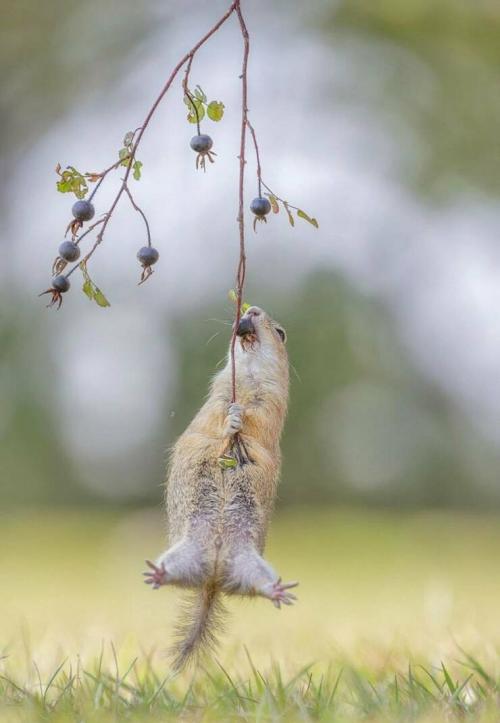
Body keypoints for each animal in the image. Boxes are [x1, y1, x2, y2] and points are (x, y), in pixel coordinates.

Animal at [144, 305, 298, 671]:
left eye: (281, 333)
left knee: (256, 585)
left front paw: (239, 419)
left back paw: (277, 591)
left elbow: (258, 420)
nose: (251, 309)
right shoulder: (216, 395)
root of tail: (212, 580)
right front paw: (231, 420)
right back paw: (158, 574)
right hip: (187, 554)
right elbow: (215, 416)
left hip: (249, 564)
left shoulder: (271, 404)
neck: (247, 376)